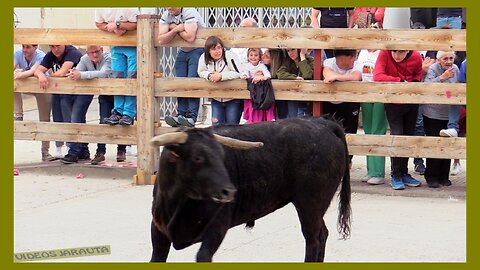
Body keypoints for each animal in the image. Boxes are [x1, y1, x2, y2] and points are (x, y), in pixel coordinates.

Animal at [150, 116, 352, 262]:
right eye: (197, 157)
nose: (230, 192)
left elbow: (202, 256)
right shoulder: (158, 232)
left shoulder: (216, 228)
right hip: (314, 210)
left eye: (222, 155)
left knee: (313, 239)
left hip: (310, 205)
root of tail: (323, 124)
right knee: (322, 234)